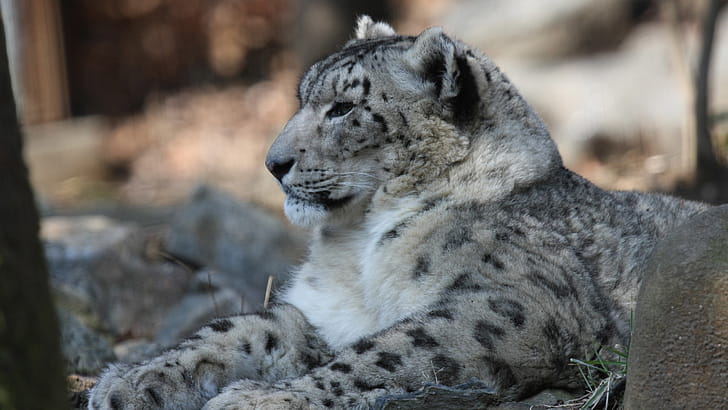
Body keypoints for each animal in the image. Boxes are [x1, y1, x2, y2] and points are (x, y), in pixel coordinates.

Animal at [88, 16, 709, 409]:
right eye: (303, 97)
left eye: (343, 108)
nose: (272, 163)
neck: (357, 245)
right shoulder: (325, 312)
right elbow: (234, 329)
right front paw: (131, 379)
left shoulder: (510, 302)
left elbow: (387, 351)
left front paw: (261, 398)